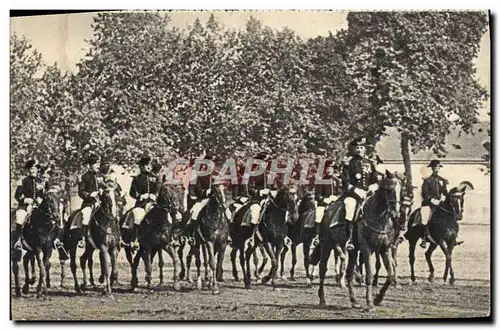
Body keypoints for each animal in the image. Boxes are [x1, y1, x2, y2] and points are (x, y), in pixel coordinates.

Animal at [316, 171, 402, 310]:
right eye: (389, 189)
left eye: (401, 190)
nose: (396, 215)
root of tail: (328, 208)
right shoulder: (366, 249)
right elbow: (369, 275)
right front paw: (370, 303)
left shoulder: (385, 249)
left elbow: (389, 275)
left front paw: (378, 298)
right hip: (327, 245)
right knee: (322, 269)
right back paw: (322, 299)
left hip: (352, 251)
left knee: (349, 272)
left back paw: (354, 300)